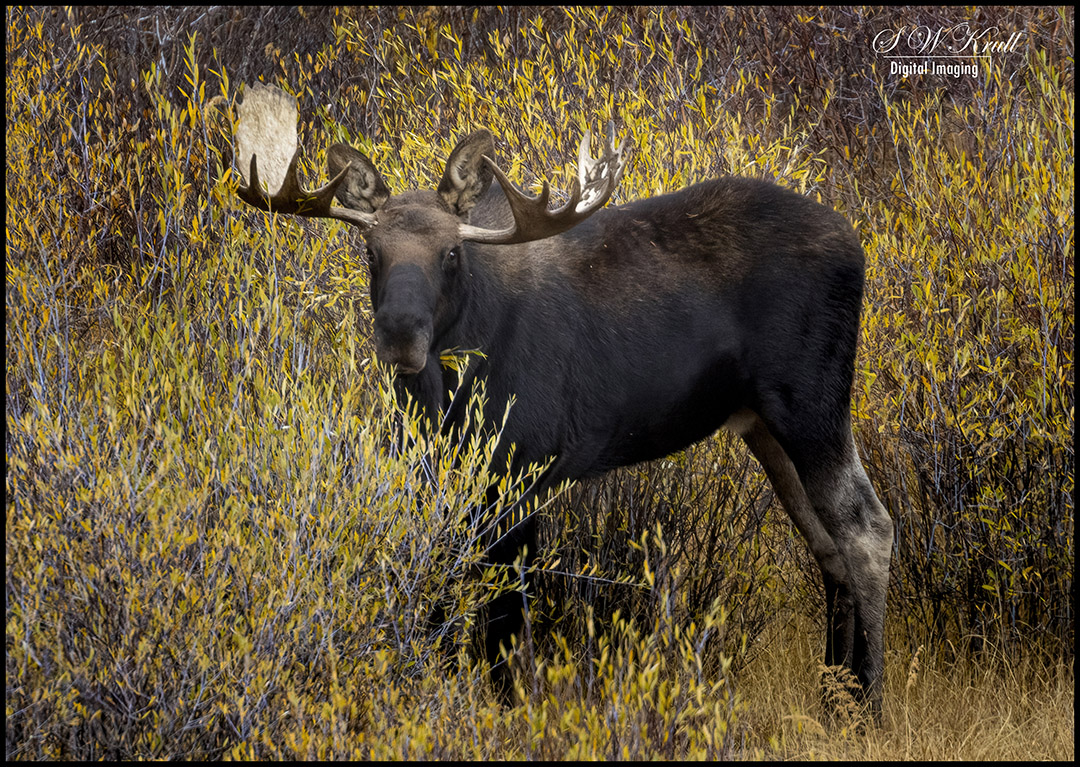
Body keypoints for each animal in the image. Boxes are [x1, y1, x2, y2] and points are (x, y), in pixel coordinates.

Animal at [233, 82, 894, 715]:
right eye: (372, 252)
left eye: (452, 253)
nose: (400, 334)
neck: (446, 395)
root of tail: (856, 241)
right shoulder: (445, 478)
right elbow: (445, 600)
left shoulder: (522, 474)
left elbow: (503, 618)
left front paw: (509, 709)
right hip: (761, 423)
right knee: (828, 545)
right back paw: (833, 696)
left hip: (811, 403)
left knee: (868, 527)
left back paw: (868, 699)